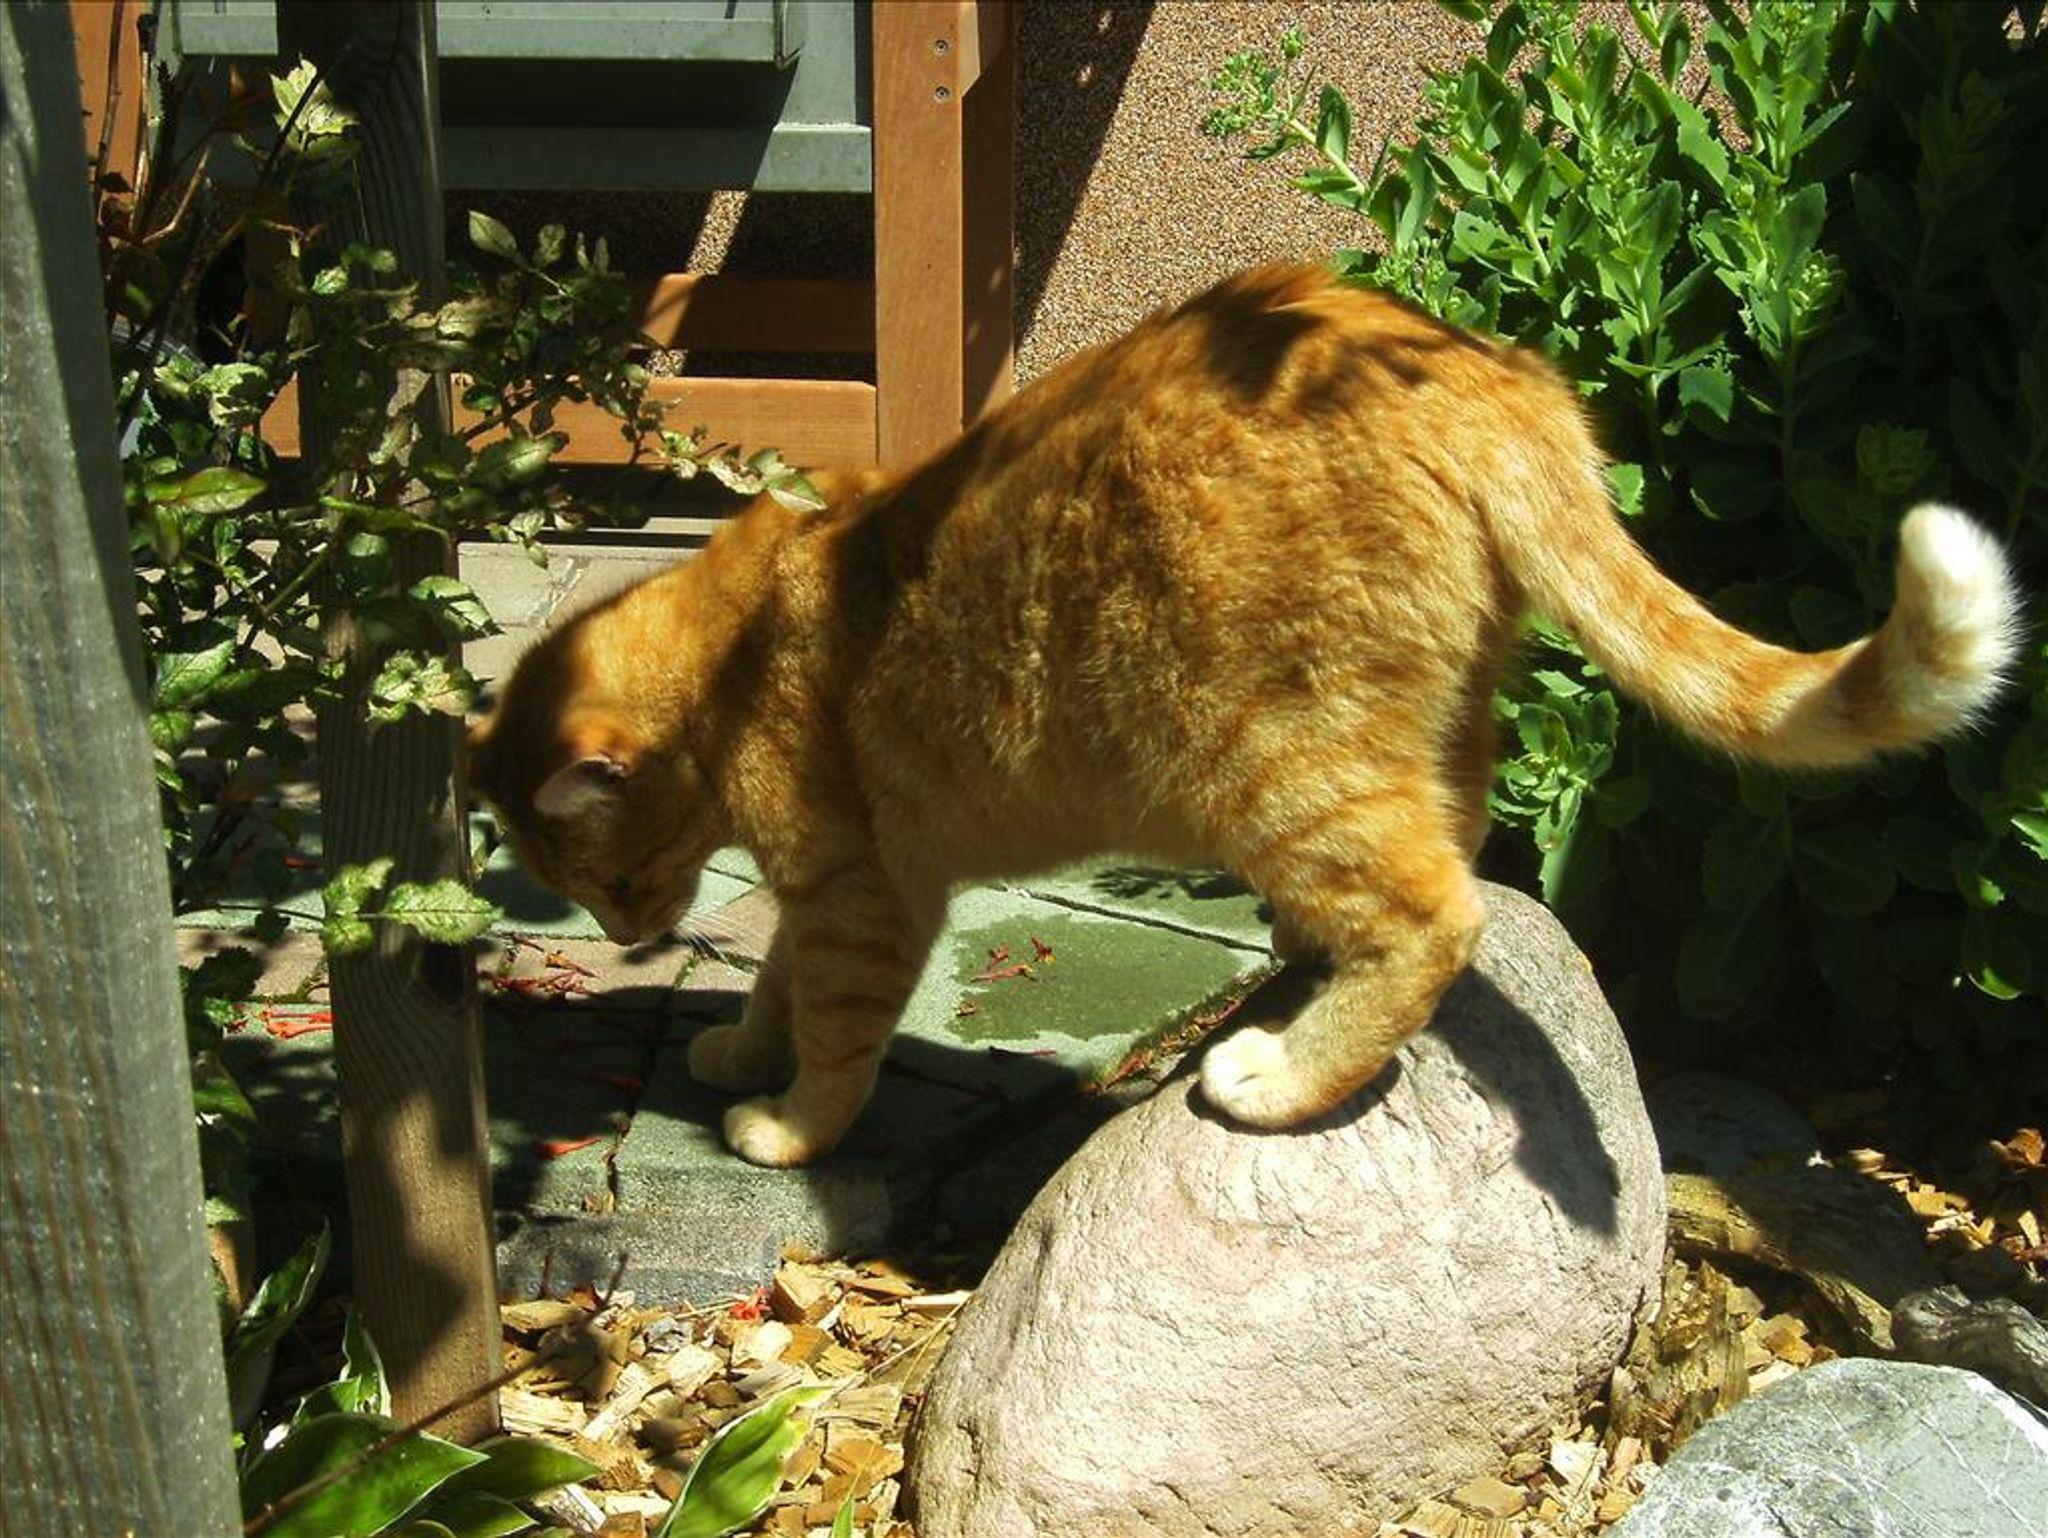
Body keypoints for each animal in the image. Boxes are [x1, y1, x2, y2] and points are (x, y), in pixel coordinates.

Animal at [467, 263, 2020, 1168]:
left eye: (600, 875)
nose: (623, 936)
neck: (743, 638)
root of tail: (1480, 369)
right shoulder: (822, 887)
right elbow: (776, 981)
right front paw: (738, 1045)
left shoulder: (863, 891)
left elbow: (834, 1029)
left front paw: (781, 1122)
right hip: (1414, 729)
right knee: (1447, 855)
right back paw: (1298, 965)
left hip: (1270, 764)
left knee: (1437, 913)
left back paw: (1280, 1072)